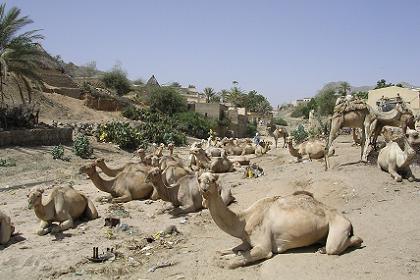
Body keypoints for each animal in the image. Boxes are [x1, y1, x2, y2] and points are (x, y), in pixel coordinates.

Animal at [199, 173, 362, 270]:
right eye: (199, 179)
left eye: (212, 180)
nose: (204, 189)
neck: (244, 220)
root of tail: (347, 219)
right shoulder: (246, 241)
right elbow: (230, 251)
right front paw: (224, 253)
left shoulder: (263, 246)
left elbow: (232, 262)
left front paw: (223, 261)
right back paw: (320, 248)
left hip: (339, 226)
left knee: (337, 246)